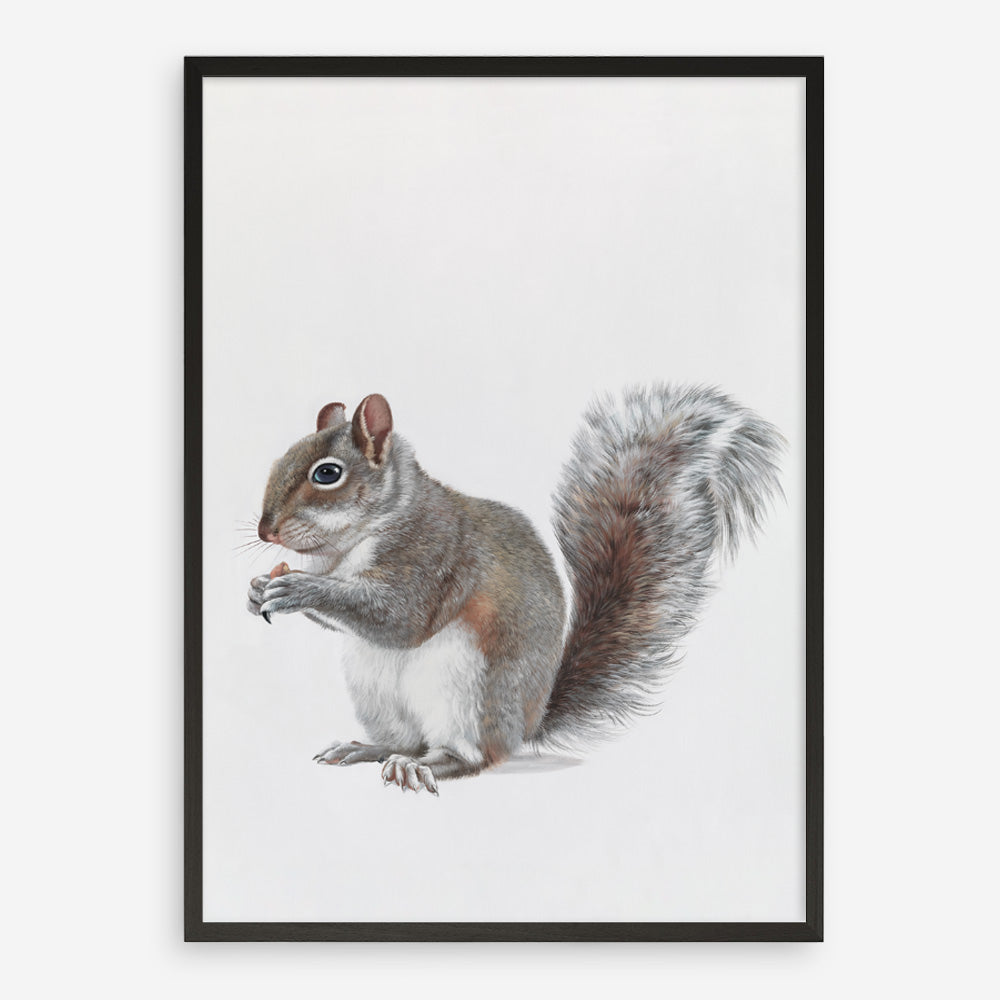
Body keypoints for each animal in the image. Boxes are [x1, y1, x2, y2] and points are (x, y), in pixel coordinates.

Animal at [247, 385, 784, 795]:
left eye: (327, 473)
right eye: (281, 458)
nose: (265, 531)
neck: (349, 544)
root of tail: (524, 728)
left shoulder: (434, 556)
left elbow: (401, 616)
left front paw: (298, 589)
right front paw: (257, 591)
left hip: (467, 689)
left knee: (464, 756)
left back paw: (419, 767)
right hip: (373, 688)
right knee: (406, 738)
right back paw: (369, 748)